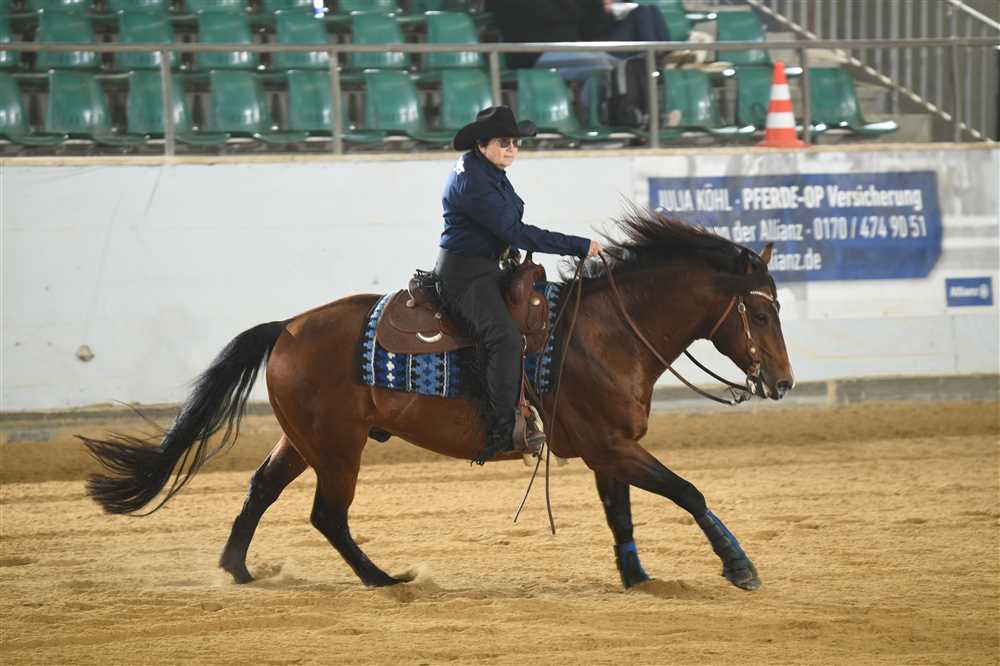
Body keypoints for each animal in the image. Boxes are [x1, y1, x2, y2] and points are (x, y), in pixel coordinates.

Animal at [81, 212, 794, 592]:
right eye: (760, 312)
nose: (784, 383)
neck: (604, 334)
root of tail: (286, 326)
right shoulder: (612, 446)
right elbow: (688, 491)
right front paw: (740, 566)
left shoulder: (607, 452)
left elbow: (622, 515)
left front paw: (638, 580)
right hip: (337, 449)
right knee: (326, 515)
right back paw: (382, 579)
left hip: (304, 441)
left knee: (262, 488)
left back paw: (237, 569)